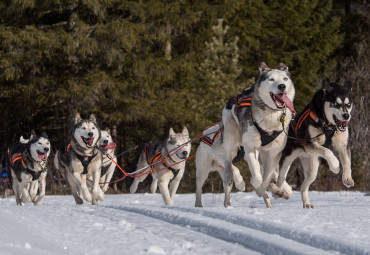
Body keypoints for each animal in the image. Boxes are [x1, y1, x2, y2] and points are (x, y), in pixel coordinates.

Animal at [221, 62, 296, 208]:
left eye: (285, 79)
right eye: (271, 79)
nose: (282, 86)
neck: (271, 117)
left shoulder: (274, 152)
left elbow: (267, 177)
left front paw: (275, 190)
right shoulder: (250, 147)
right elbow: (257, 178)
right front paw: (263, 190)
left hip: (263, 153)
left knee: (271, 173)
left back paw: (283, 189)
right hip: (231, 142)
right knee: (229, 168)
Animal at [278, 80, 356, 208]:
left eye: (348, 104)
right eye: (336, 103)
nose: (346, 116)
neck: (329, 126)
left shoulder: (343, 145)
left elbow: (346, 162)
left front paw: (347, 178)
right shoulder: (309, 143)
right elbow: (327, 151)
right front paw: (335, 166)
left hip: (312, 169)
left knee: (303, 187)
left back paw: (306, 203)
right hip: (287, 159)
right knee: (279, 177)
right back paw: (279, 191)